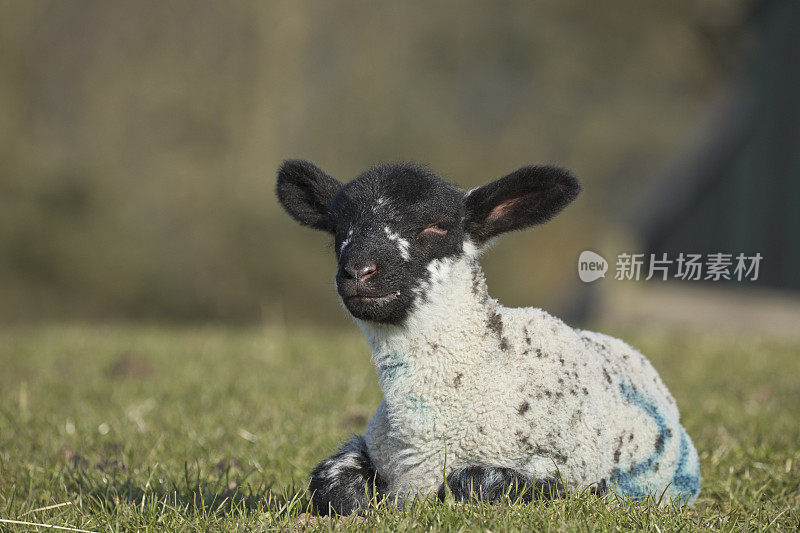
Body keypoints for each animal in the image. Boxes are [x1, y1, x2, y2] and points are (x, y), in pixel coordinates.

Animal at [276, 159, 700, 516]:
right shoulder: (372, 447)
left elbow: (471, 482)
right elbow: (328, 482)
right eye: (337, 229)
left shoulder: (568, 469)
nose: (358, 272)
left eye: (436, 226)